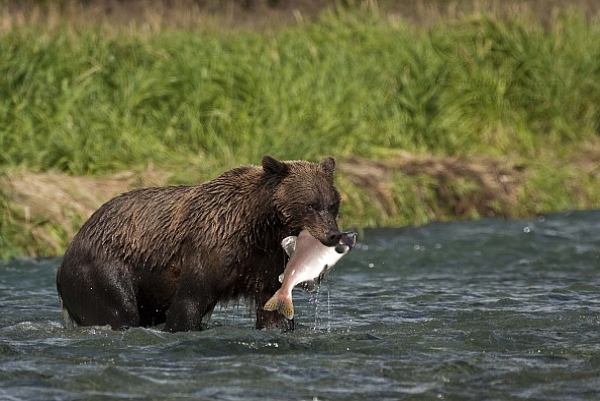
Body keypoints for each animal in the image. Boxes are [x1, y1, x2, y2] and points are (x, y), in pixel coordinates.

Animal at [56, 155, 342, 332]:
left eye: (332, 204)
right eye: (310, 204)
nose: (333, 235)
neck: (260, 227)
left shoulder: (267, 262)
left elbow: (272, 308)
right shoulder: (211, 246)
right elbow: (190, 301)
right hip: (104, 268)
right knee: (118, 310)